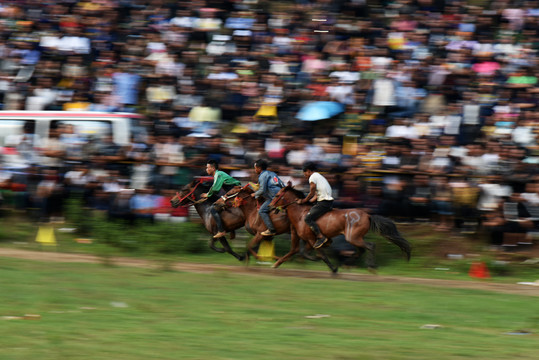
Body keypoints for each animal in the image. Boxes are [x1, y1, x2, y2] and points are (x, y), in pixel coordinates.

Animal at [272, 183, 412, 270]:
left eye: (277, 195)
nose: (270, 206)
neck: (301, 214)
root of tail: (368, 215)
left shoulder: (312, 239)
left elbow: (316, 254)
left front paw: (332, 268)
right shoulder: (308, 240)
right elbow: (303, 252)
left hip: (353, 237)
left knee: (370, 246)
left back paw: (370, 266)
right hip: (355, 238)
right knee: (361, 250)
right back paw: (349, 264)